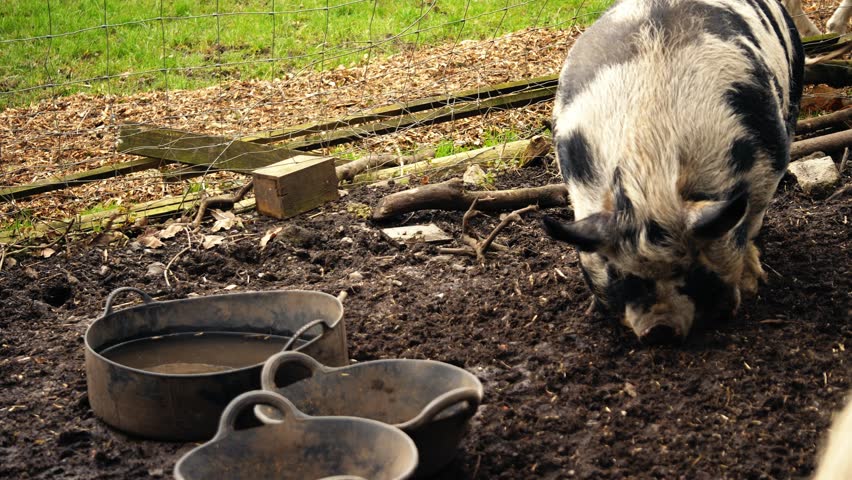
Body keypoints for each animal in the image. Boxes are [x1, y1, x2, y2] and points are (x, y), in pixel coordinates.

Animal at [543, 0, 804, 343]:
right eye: (618, 274)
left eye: (692, 271)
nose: (659, 329)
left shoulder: (770, 162)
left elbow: (749, 224)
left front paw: (749, 287)